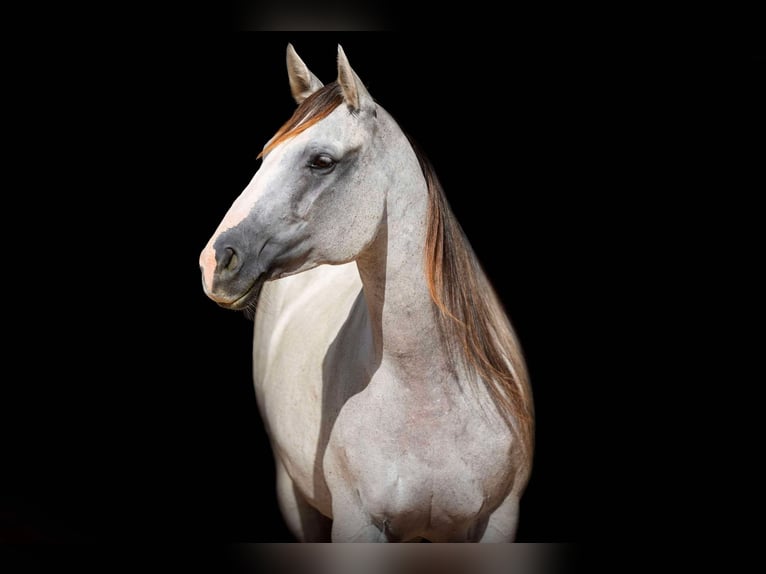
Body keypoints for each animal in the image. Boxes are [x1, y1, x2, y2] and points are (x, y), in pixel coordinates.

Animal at [199, 43, 534, 542]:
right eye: (265, 159)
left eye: (321, 161)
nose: (214, 262)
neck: (428, 395)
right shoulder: (358, 524)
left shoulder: (496, 521)